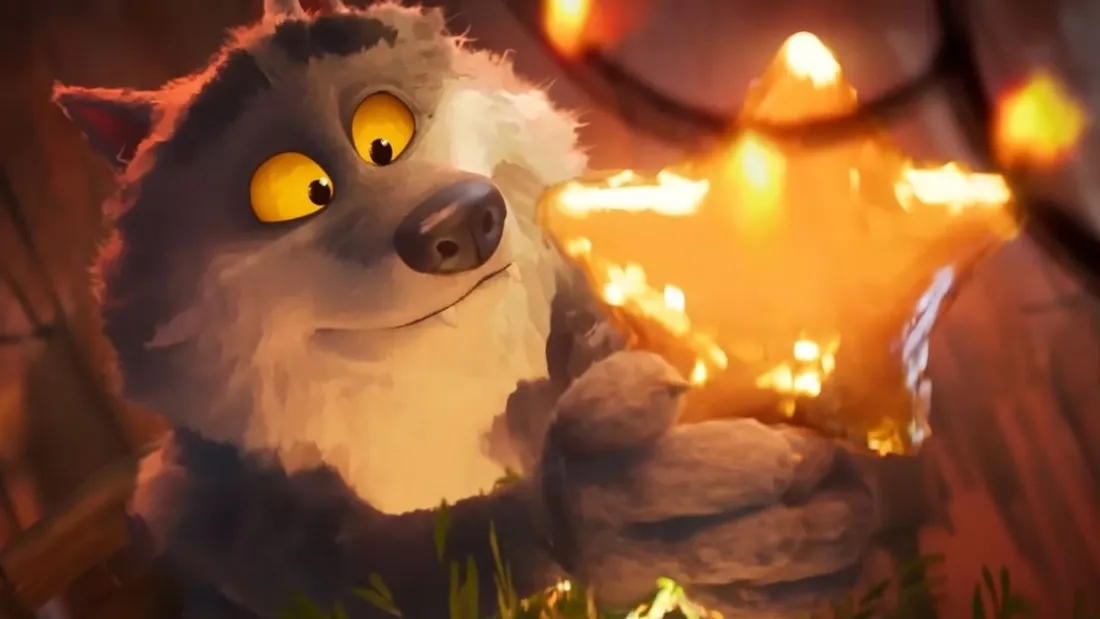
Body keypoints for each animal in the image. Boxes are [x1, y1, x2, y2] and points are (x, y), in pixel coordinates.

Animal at [52, 0, 878, 616]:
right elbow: (424, 562)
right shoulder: (215, 522)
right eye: (295, 188)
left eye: (385, 134)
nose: (465, 218)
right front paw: (627, 513)